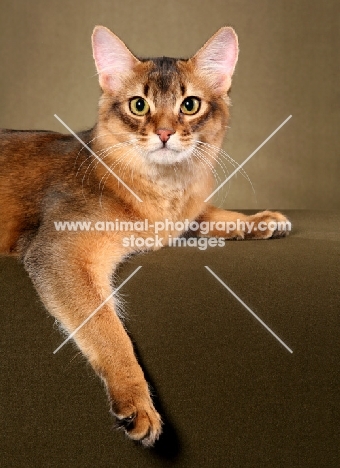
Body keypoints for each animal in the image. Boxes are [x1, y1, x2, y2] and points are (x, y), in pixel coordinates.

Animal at [0, 26, 290, 446]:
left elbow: (206, 214)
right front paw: (136, 402)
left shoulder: (175, 221)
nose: (165, 133)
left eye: (190, 105)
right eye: (139, 105)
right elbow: (108, 329)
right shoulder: (59, 251)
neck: (160, 192)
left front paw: (260, 220)